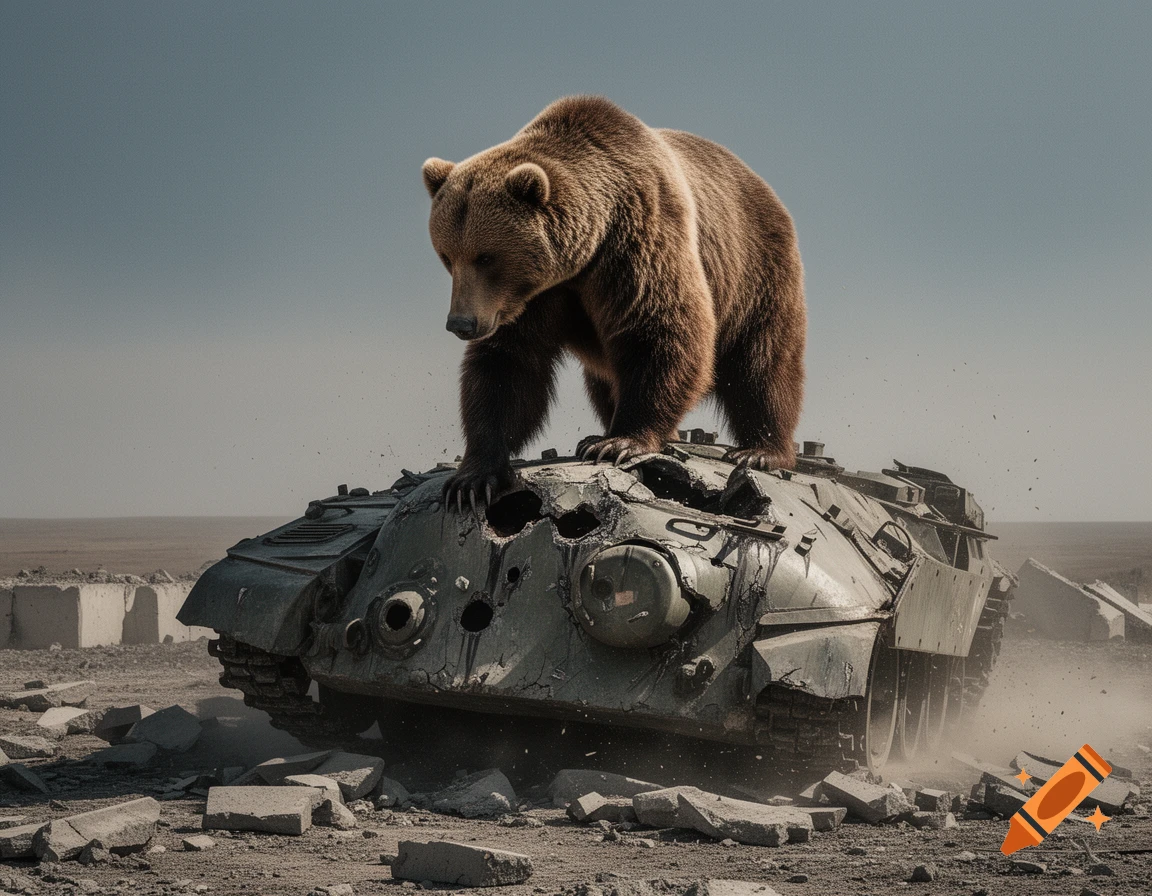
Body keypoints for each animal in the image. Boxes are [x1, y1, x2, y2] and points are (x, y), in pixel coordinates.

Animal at [422, 96, 806, 511]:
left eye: (486, 257)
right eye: (447, 255)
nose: (461, 323)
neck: (584, 253)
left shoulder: (639, 244)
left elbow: (661, 332)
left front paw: (620, 442)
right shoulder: (532, 298)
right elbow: (509, 364)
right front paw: (472, 478)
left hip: (756, 268)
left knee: (762, 364)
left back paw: (761, 449)